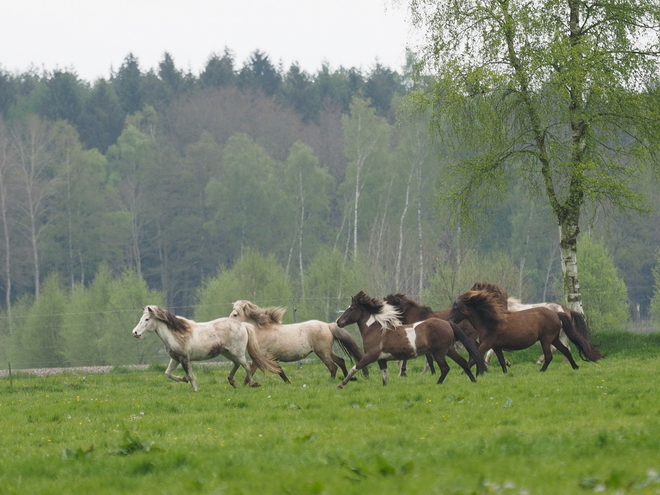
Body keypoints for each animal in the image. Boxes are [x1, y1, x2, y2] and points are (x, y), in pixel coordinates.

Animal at [131, 306, 284, 392]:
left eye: (146, 319)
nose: (135, 333)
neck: (177, 334)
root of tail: (243, 325)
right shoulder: (175, 358)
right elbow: (167, 373)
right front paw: (183, 379)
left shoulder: (184, 359)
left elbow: (191, 375)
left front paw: (195, 390)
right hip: (228, 352)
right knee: (237, 364)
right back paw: (232, 381)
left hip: (238, 352)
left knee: (247, 365)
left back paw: (252, 383)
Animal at [336, 290, 484, 392]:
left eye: (352, 308)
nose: (338, 322)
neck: (376, 330)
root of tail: (448, 323)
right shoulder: (382, 359)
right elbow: (384, 377)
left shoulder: (371, 356)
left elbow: (355, 368)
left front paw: (340, 385)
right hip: (449, 350)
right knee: (463, 362)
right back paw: (474, 380)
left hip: (439, 352)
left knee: (445, 368)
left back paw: (438, 383)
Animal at [444, 290, 604, 372]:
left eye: (455, 308)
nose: (448, 320)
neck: (489, 320)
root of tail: (560, 311)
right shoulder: (496, 346)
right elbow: (499, 360)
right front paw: (505, 371)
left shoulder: (487, 344)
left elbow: (476, 356)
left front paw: (466, 371)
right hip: (555, 338)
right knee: (565, 350)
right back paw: (574, 366)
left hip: (546, 339)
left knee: (551, 354)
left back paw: (542, 368)